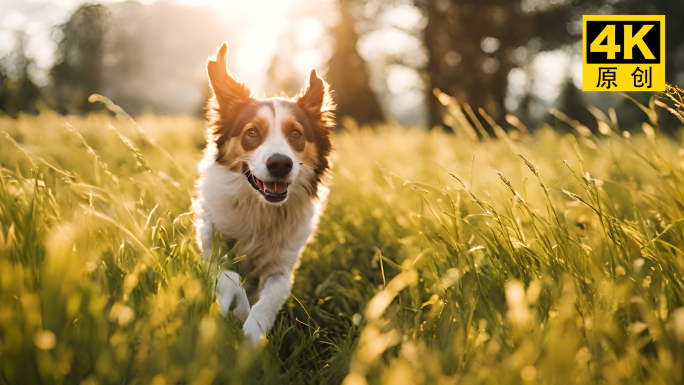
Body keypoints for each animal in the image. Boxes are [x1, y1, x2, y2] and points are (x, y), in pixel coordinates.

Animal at [194, 43, 336, 344]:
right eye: (251, 132)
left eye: (296, 133)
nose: (280, 164)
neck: (260, 209)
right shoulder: (212, 247)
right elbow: (231, 280)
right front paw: (238, 312)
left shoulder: (282, 267)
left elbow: (269, 300)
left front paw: (253, 332)